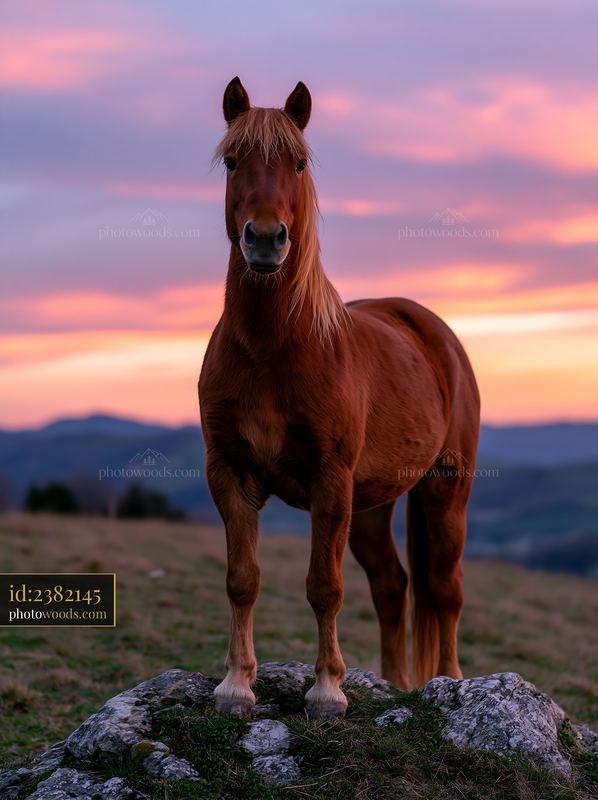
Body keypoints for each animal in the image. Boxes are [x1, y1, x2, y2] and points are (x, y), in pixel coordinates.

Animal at [199, 77, 480, 719]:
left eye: (299, 163)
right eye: (232, 160)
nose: (266, 239)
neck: (272, 350)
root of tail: (435, 332)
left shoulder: (330, 480)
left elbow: (323, 587)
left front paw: (327, 692)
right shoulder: (229, 473)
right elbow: (242, 578)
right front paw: (235, 685)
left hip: (445, 490)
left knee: (444, 590)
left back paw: (449, 682)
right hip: (370, 505)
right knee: (393, 587)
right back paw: (395, 682)